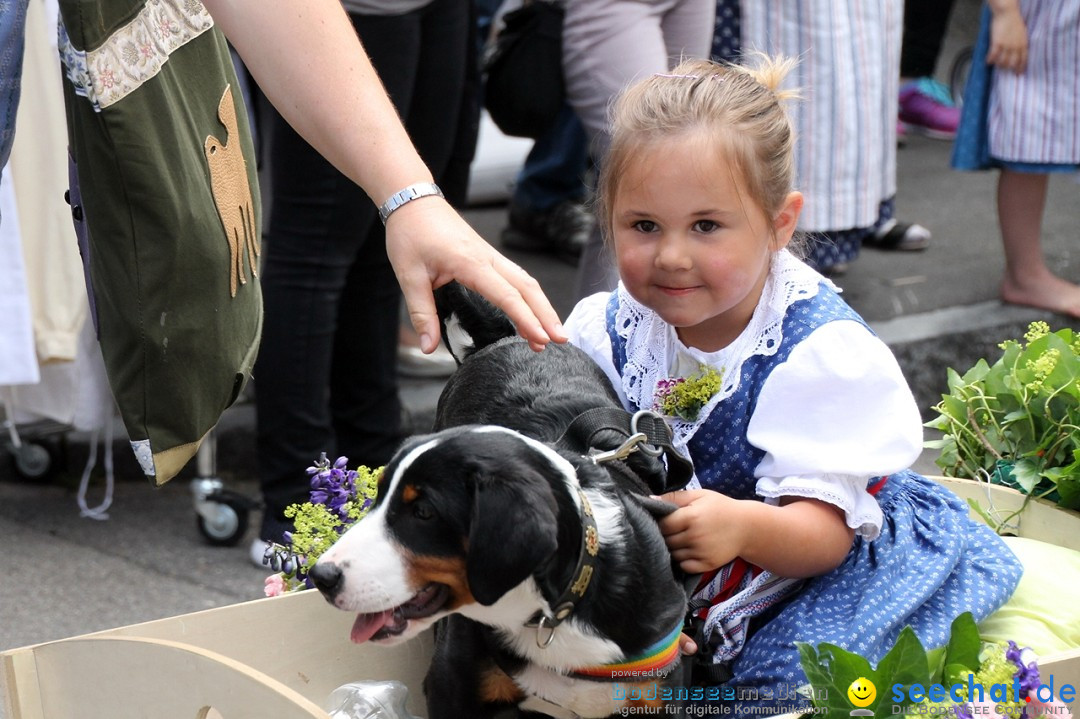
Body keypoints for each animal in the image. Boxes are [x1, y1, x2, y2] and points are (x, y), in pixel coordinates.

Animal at [311, 282, 691, 712]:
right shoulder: (451, 684)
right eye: (379, 499)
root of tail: (505, 337)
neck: (551, 611)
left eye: (423, 512)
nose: (321, 576)